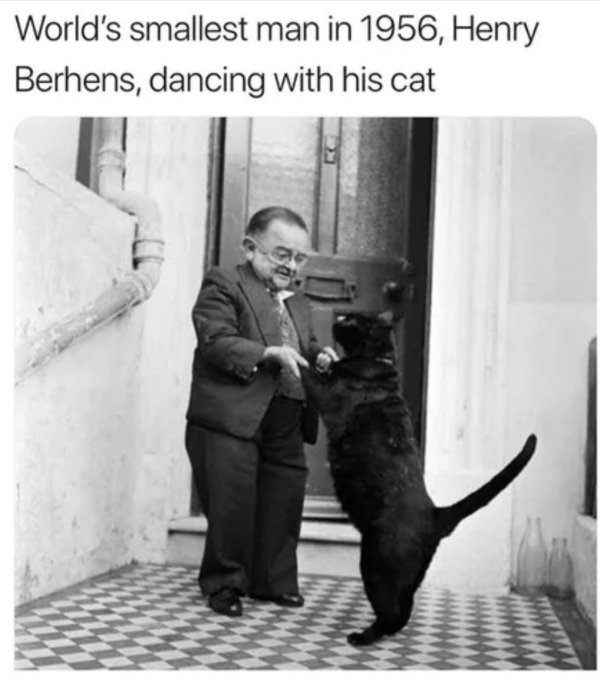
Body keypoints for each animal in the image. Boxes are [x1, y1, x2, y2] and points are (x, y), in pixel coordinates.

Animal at [302, 310, 536, 644]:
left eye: (351, 322)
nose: (338, 319)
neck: (377, 361)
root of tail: (435, 514)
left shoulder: (326, 393)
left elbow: (304, 369)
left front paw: (287, 352)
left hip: (373, 564)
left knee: (390, 612)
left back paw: (362, 637)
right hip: (404, 576)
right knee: (405, 610)